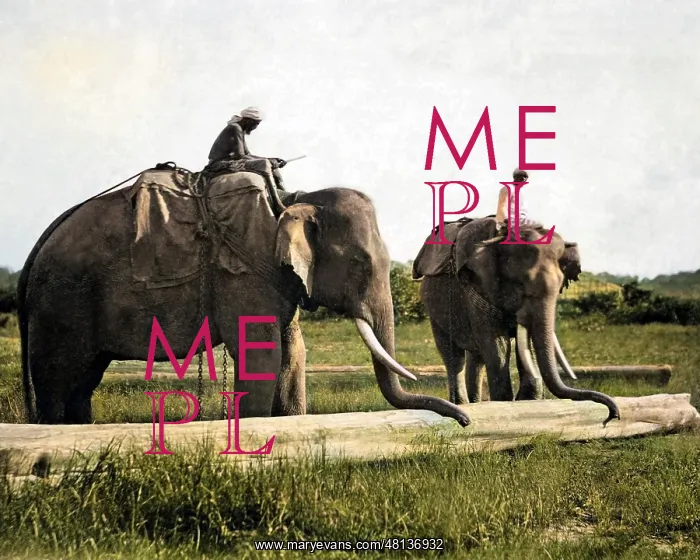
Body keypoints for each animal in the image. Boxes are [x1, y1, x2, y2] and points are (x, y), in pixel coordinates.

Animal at [17, 169, 471, 427]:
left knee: (83, 381)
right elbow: (262, 354)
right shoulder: (246, 270)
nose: (465, 420)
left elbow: (292, 351)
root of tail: (34, 252)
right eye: (360, 262)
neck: (294, 200)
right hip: (61, 302)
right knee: (59, 379)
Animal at [416, 217, 619, 425]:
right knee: (454, 356)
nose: (612, 416)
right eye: (521, 286)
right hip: (433, 307)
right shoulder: (477, 291)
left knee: (477, 357)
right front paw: (505, 403)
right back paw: (463, 404)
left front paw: (528, 399)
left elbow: (524, 346)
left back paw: (474, 403)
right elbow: (498, 346)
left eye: (560, 285)